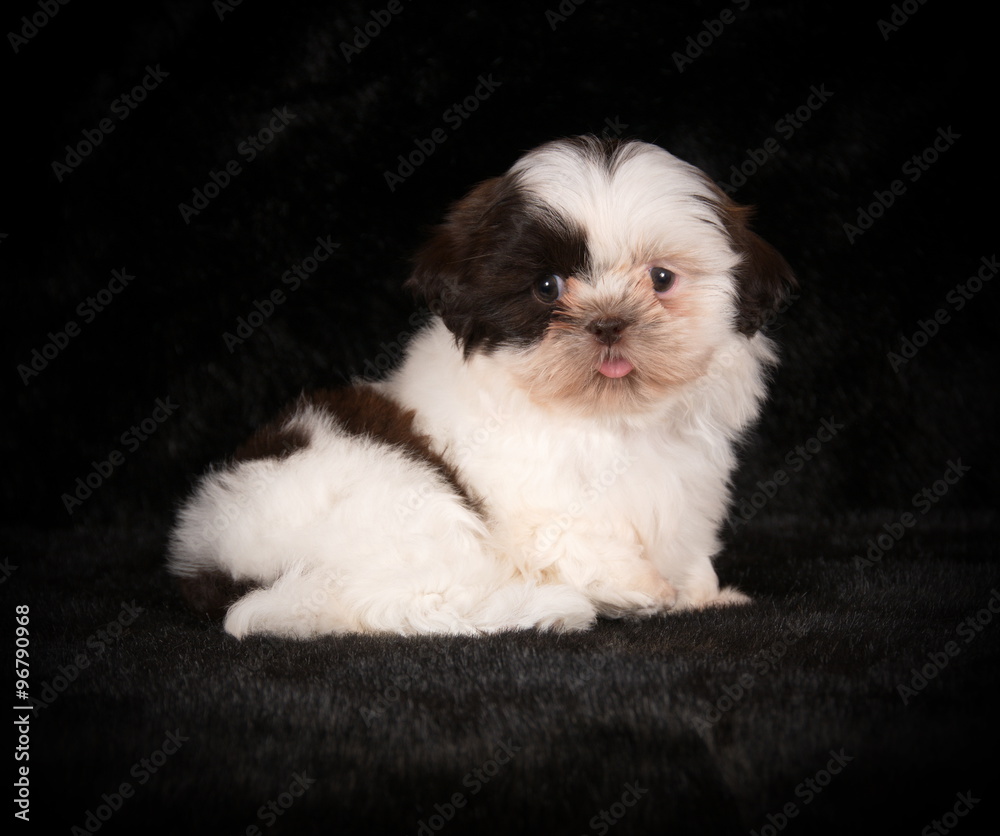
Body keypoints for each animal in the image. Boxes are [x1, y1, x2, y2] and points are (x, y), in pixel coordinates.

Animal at [168, 135, 795, 637]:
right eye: (547, 287)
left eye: (661, 279)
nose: (609, 321)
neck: (606, 419)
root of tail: (218, 567)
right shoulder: (534, 498)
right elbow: (576, 538)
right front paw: (646, 590)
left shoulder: (687, 483)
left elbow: (685, 542)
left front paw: (702, 595)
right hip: (398, 507)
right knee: (404, 602)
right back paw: (541, 606)